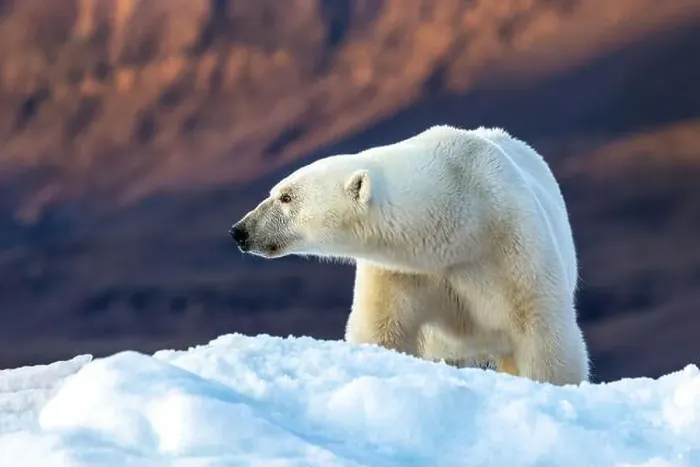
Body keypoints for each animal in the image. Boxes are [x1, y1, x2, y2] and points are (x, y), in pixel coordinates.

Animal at [230, 125, 590, 386]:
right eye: (276, 192)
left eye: (286, 197)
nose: (240, 231)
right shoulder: (401, 270)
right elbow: (382, 328)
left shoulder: (511, 245)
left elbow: (542, 332)